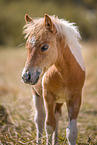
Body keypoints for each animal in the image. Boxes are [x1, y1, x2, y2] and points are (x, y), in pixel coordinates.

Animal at [21, 13, 85, 145]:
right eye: (27, 46)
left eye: (45, 47)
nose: (26, 76)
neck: (65, 75)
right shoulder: (48, 96)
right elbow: (49, 125)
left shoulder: (75, 98)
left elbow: (71, 131)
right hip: (36, 94)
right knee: (39, 119)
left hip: (59, 101)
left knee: (57, 116)